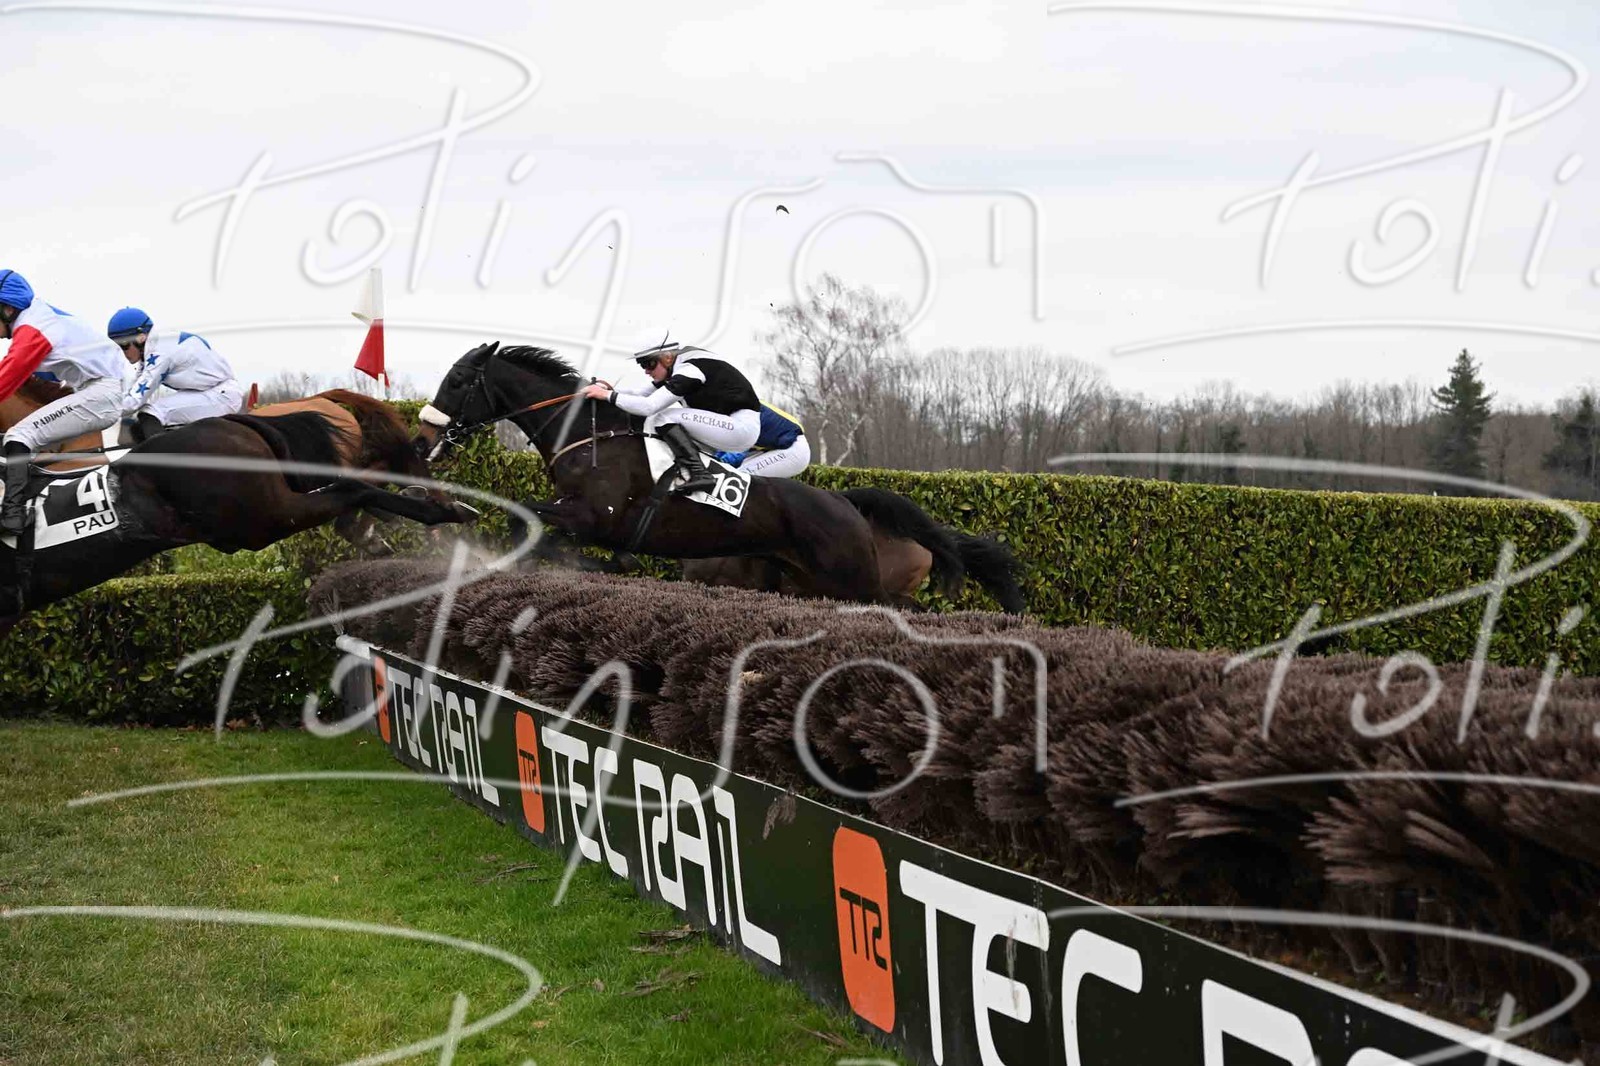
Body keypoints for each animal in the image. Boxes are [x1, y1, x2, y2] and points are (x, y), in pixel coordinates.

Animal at [414, 342, 890, 603]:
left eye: (457, 381)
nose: (421, 439)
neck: (591, 435)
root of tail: (844, 502)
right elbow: (526, 521)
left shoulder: (593, 516)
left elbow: (527, 520)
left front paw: (590, 564)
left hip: (852, 580)